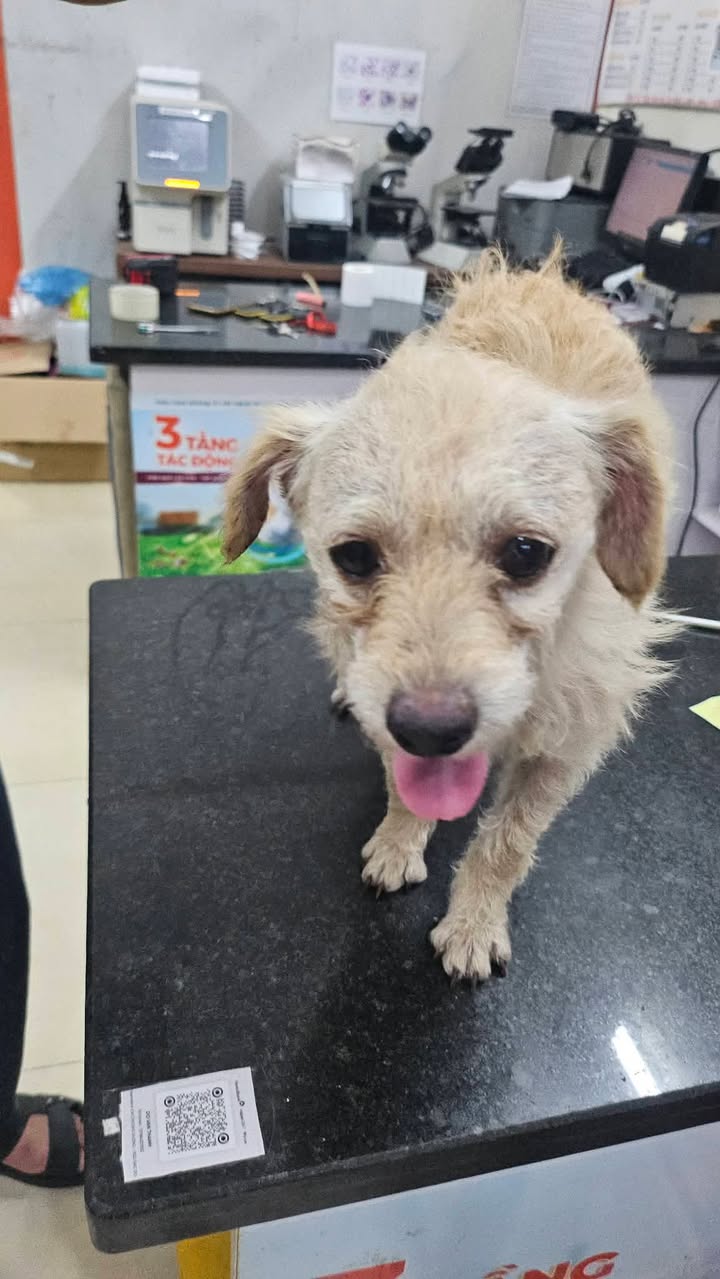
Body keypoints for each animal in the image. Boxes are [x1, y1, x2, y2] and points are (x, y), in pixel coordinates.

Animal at [224, 250, 673, 982]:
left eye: (526, 552)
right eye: (353, 555)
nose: (430, 730)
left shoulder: (566, 750)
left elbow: (506, 845)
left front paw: (473, 923)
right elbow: (403, 787)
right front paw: (399, 843)